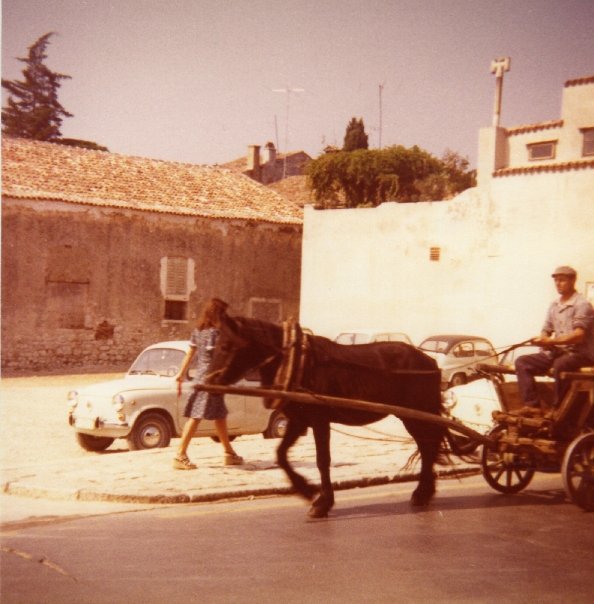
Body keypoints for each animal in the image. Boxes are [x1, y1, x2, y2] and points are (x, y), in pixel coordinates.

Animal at [206, 312, 446, 520]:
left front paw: (323, 503)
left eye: (226, 346)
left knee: (428, 448)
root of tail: (431, 361)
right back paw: (425, 492)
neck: (297, 363)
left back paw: (422, 493)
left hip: (416, 415)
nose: (209, 381)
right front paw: (305, 489)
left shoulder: (320, 420)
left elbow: (322, 460)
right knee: (428, 448)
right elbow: (281, 454)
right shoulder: (298, 420)